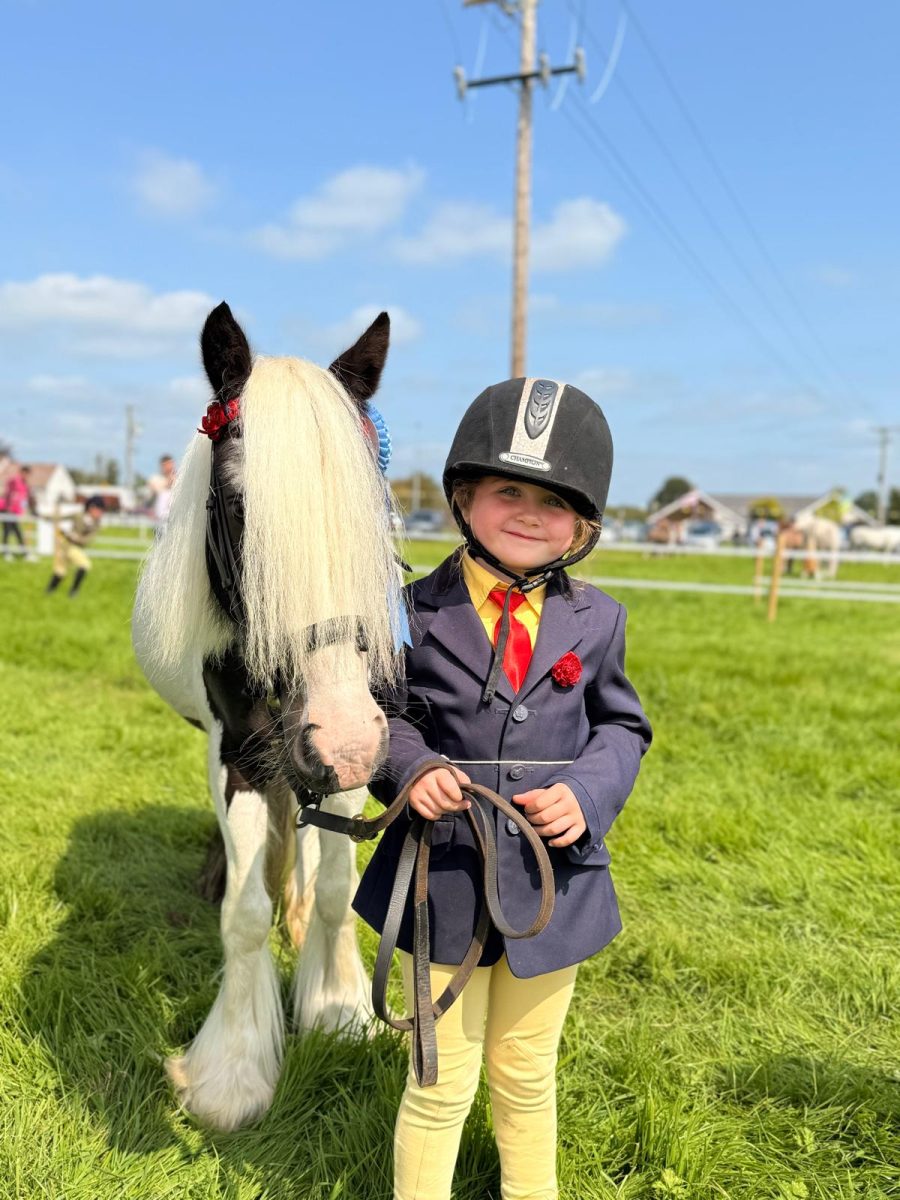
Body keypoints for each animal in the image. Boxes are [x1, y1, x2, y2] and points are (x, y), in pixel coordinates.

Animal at [132, 302, 401, 1131]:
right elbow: (245, 911)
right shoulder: (242, 751)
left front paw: (339, 1007)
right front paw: (231, 1073)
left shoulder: (362, 753)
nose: (340, 735)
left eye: (378, 513)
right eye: (239, 508)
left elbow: (341, 885)